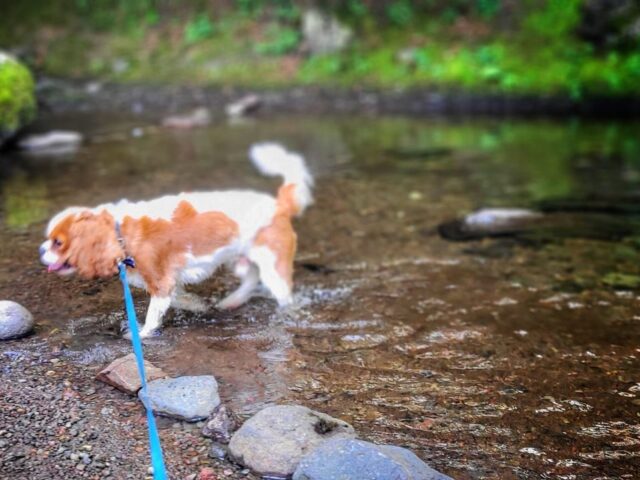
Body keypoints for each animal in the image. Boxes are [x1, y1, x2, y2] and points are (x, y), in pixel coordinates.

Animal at [38, 145, 314, 338]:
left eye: (58, 242)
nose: (40, 250)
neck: (120, 233)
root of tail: (279, 203)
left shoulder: (160, 280)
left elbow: (152, 314)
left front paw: (142, 334)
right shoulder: (168, 280)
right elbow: (180, 297)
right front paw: (198, 305)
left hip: (273, 265)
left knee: (282, 295)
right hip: (240, 260)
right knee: (250, 278)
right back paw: (231, 301)